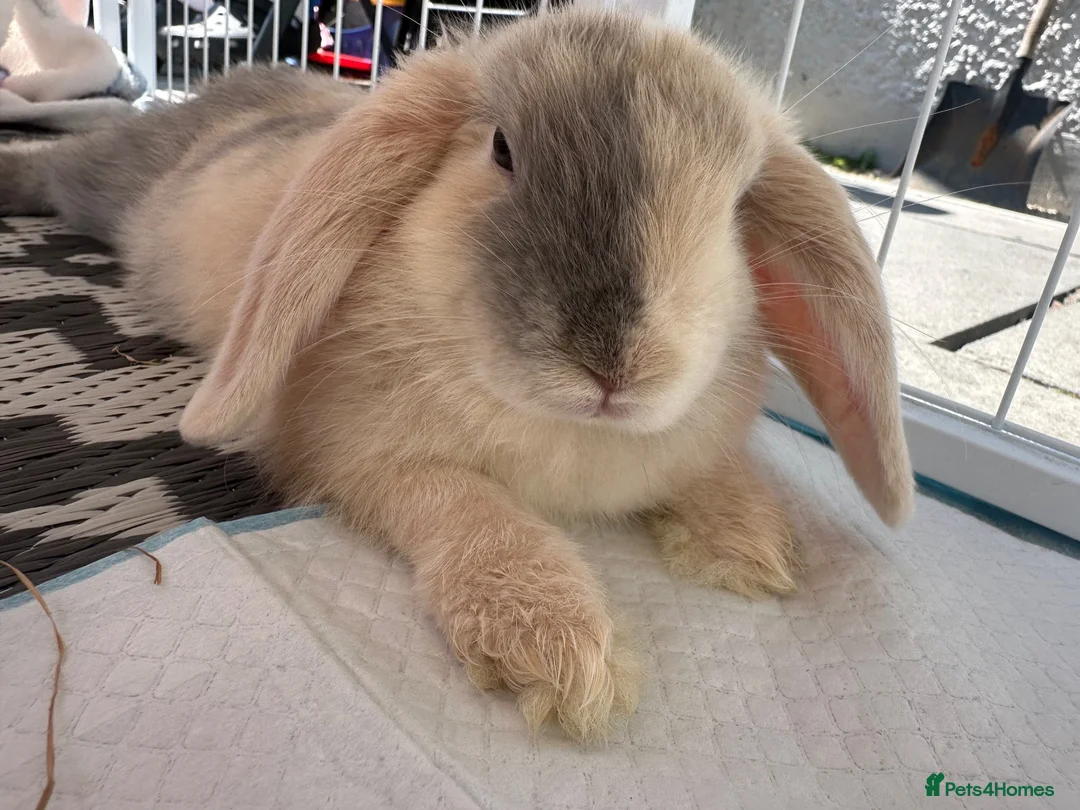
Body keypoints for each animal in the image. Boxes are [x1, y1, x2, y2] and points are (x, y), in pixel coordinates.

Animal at [0, 7, 913, 741]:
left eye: (735, 201)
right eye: (502, 150)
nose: (615, 367)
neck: (569, 427)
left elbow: (706, 474)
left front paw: (747, 546)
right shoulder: (362, 456)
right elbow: (471, 508)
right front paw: (557, 653)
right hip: (110, 187)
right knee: (62, 168)